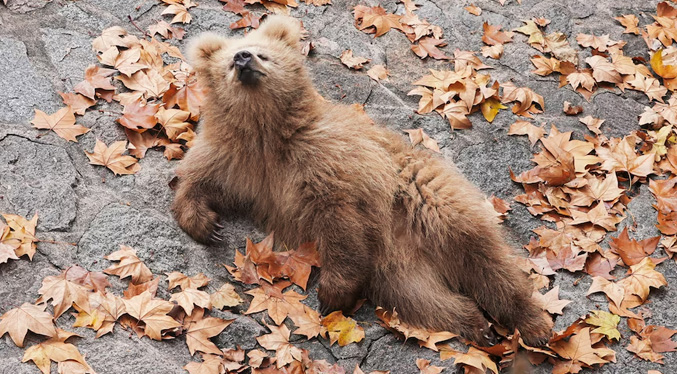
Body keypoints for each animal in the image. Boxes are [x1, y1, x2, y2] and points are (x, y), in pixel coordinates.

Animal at [172, 15, 552, 348]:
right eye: (228, 61)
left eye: (262, 53)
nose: (243, 57)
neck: (266, 132)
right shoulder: (238, 162)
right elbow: (197, 180)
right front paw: (206, 224)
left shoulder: (326, 161)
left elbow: (340, 220)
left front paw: (330, 293)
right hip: (396, 270)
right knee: (421, 299)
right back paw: (476, 325)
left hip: (430, 201)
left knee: (486, 260)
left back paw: (534, 325)